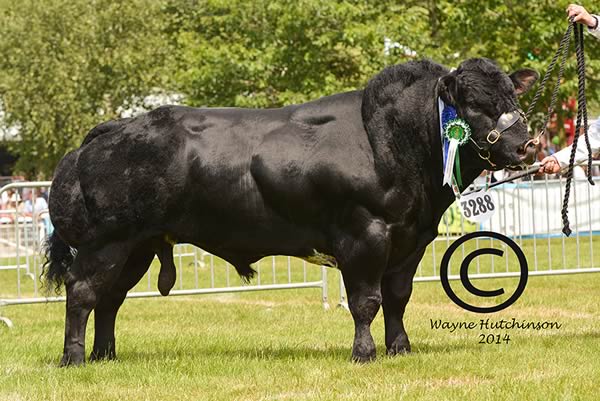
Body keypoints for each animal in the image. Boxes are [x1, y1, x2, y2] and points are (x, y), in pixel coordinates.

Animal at [42, 57, 540, 366]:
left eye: (512, 99)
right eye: (474, 104)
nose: (527, 145)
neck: (392, 140)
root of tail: (112, 130)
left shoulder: (410, 239)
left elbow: (398, 297)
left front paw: (400, 348)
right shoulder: (364, 234)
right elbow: (366, 301)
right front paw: (364, 354)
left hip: (139, 245)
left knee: (110, 298)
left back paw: (105, 355)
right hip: (106, 242)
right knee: (82, 292)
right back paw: (74, 358)